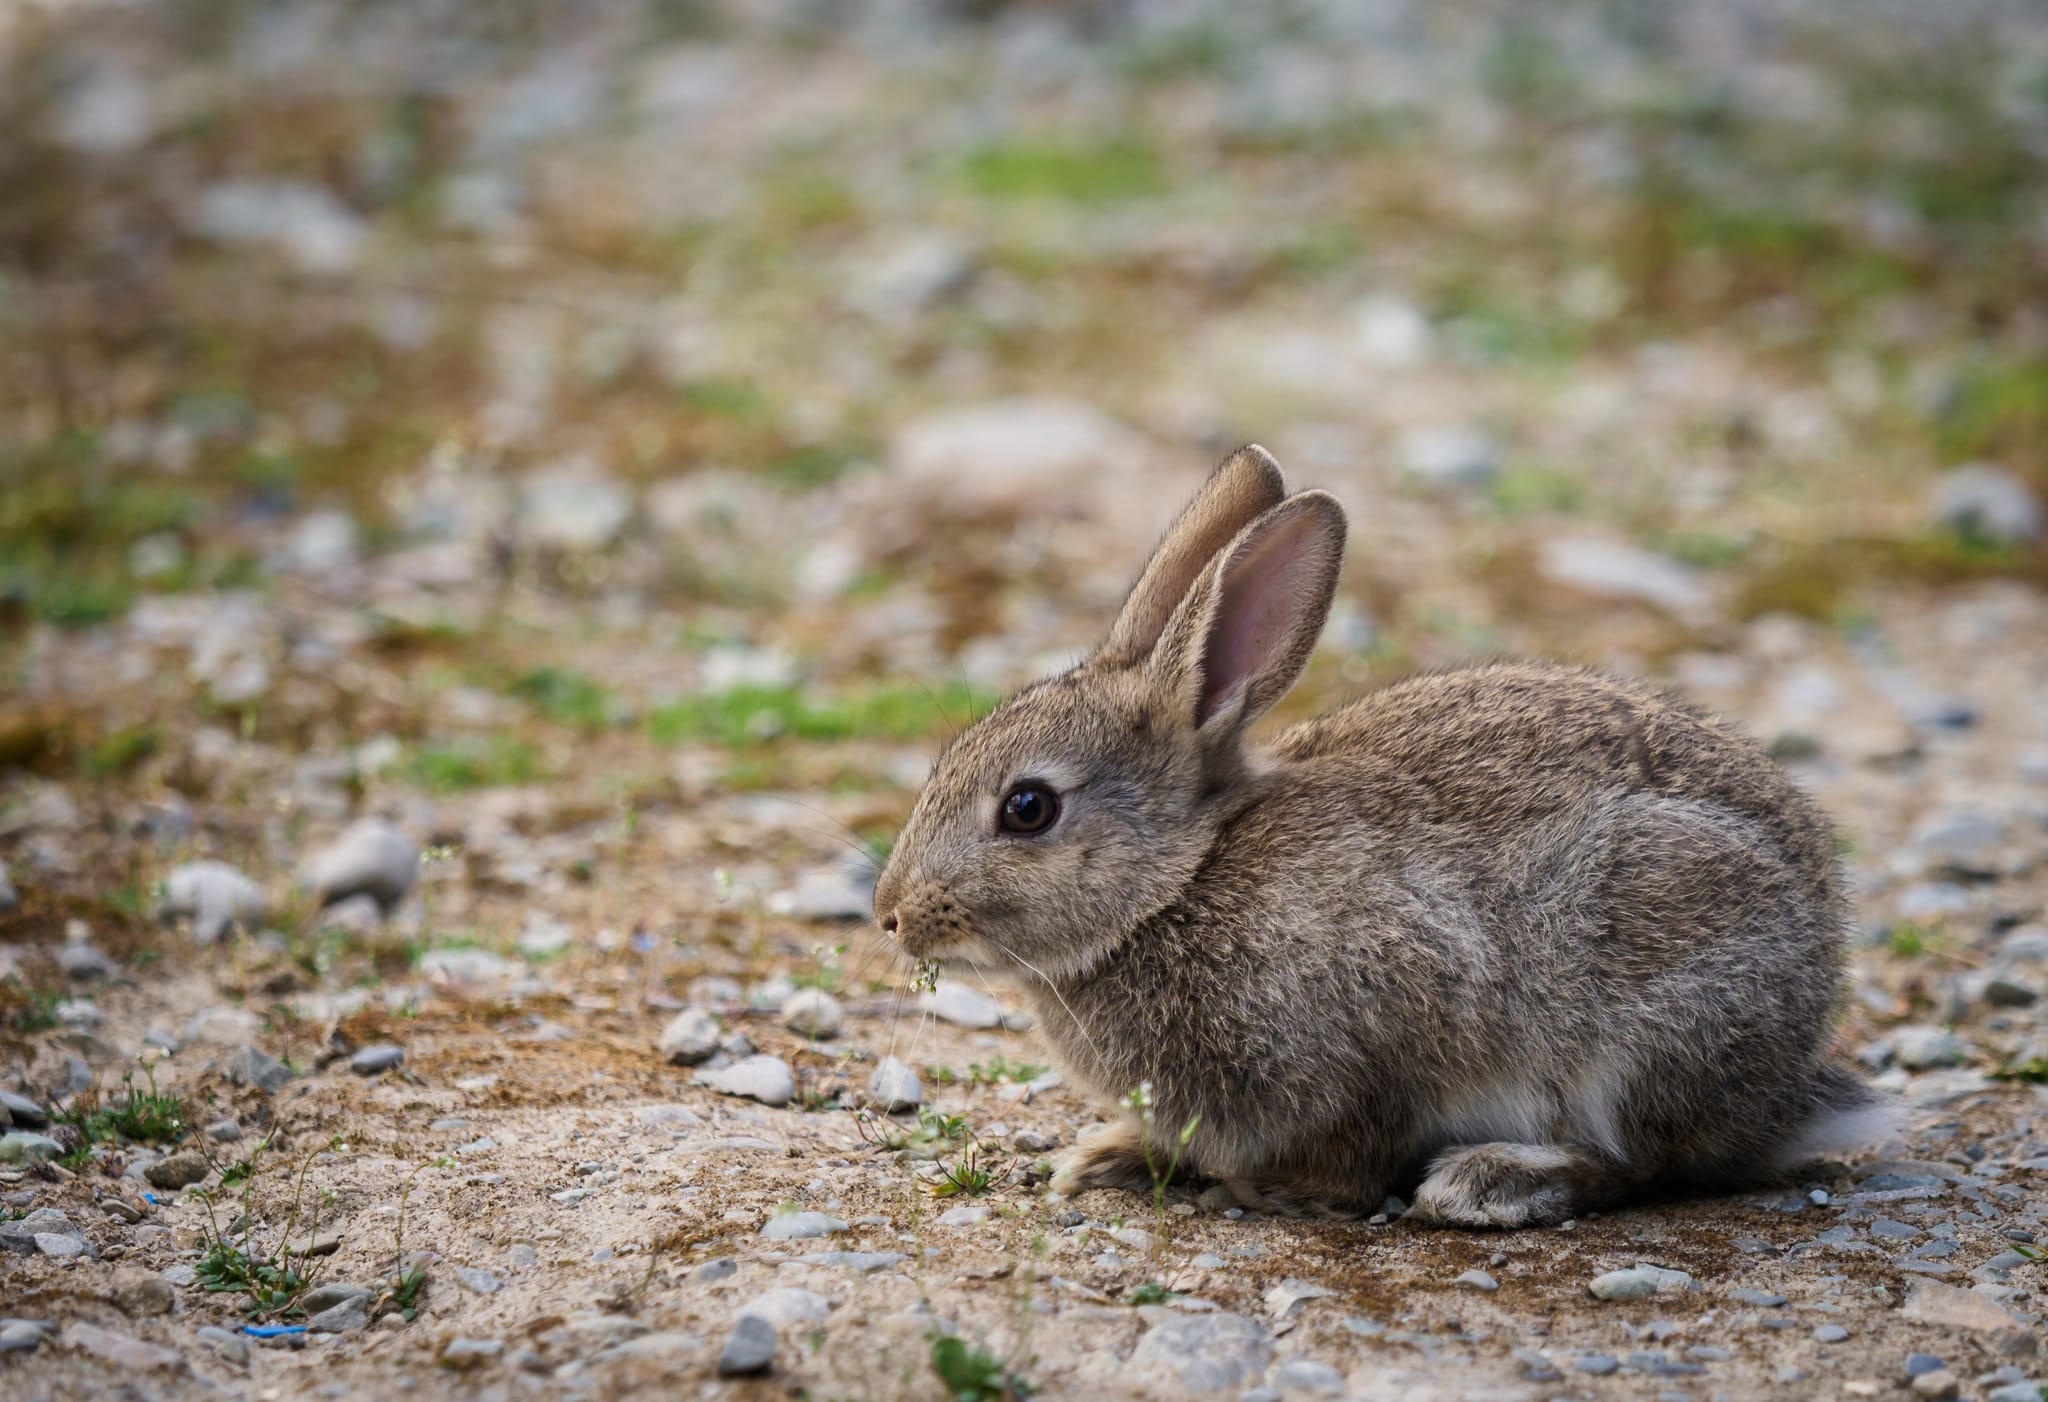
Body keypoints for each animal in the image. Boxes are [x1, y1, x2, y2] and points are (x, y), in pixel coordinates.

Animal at [872, 442, 1892, 1219]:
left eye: (1028, 808)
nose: (891, 915)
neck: (1178, 882)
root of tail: (1788, 1080)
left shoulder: (1373, 1041)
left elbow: (1352, 1155)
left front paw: (1263, 1190)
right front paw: (1109, 1157)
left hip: (1649, 1017)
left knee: (1646, 1162)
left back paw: (1492, 1181)